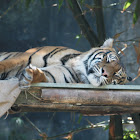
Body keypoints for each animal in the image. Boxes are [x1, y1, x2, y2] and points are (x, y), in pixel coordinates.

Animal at [0, 38, 132, 86]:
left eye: (115, 75)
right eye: (108, 60)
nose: (105, 73)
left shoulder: (56, 75)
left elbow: (45, 76)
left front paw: (33, 74)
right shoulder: (26, 56)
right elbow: (5, 64)